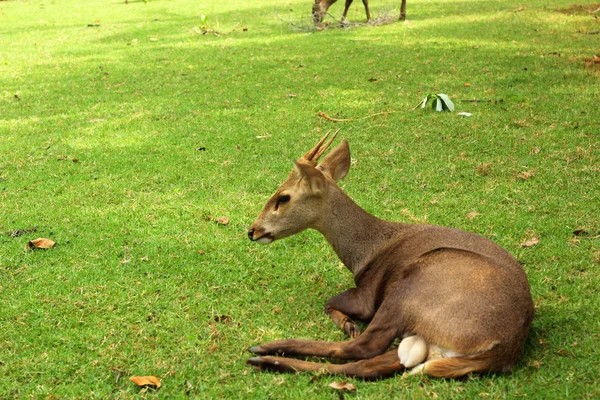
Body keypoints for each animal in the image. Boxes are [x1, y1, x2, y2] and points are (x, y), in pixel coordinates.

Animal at [245, 131, 536, 378]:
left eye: (283, 197)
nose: (252, 230)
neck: (366, 251)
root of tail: (502, 346)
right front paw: (347, 323)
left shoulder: (367, 295)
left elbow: (331, 302)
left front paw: (348, 323)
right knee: (373, 364)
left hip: (414, 284)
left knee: (364, 347)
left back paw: (264, 350)